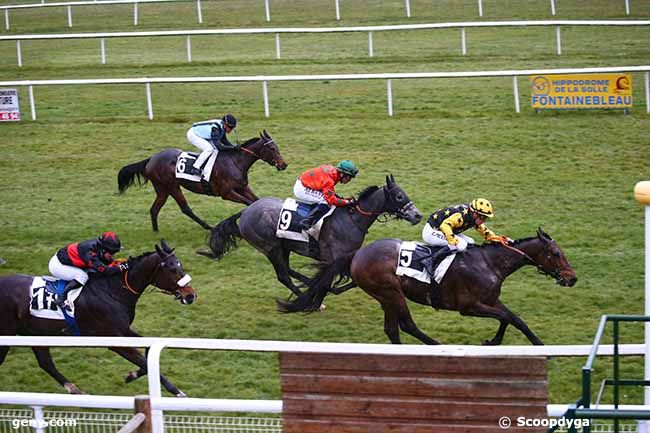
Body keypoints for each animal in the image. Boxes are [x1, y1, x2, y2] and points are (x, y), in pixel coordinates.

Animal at [0, 240, 197, 394]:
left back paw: (75, 390)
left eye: (180, 265)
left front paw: (131, 375)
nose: (190, 295)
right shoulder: (114, 340)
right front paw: (178, 392)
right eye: (172, 269)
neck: (113, 289)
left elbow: (148, 351)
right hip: (9, 332)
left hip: (35, 333)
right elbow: (145, 361)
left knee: (45, 362)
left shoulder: (124, 330)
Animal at [117, 131, 288, 231]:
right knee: (185, 208)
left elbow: (256, 200)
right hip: (172, 186)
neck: (235, 162)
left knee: (154, 209)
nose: (284, 165)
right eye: (272, 148)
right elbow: (248, 203)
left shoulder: (243, 188)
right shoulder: (227, 193)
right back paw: (208, 227)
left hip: (162, 189)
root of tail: (151, 159)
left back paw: (156, 232)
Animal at [205, 174, 422, 296]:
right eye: (399, 196)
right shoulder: (334, 257)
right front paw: (331, 289)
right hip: (270, 247)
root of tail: (246, 211)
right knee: (283, 276)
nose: (418, 215)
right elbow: (348, 278)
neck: (351, 218)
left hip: (283, 246)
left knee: (288, 270)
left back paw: (307, 284)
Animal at [278, 226, 576, 344]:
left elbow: (516, 319)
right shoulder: (469, 307)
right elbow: (505, 318)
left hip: (386, 296)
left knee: (392, 329)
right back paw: (434, 345)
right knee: (406, 325)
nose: (572, 277)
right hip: (391, 292)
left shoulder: (491, 300)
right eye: (556, 253)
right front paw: (492, 342)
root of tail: (357, 254)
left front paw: (538, 345)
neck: (489, 263)